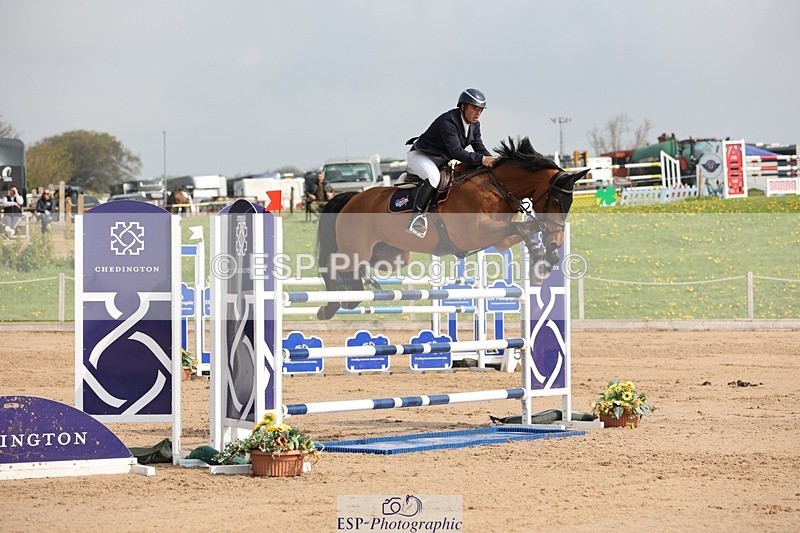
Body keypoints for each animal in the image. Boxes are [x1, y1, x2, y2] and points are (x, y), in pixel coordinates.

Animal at [315, 137, 589, 320]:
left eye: (569, 204)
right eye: (556, 201)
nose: (557, 242)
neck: (494, 186)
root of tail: (351, 198)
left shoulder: (499, 237)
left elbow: (527, 227)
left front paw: (545, 260)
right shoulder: (476, 233)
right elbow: (525, 228)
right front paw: (541, 259)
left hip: (392, 255)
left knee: (362, 268)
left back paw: (353, 292)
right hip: (355, 248)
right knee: (331, 264)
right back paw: (330, 306)